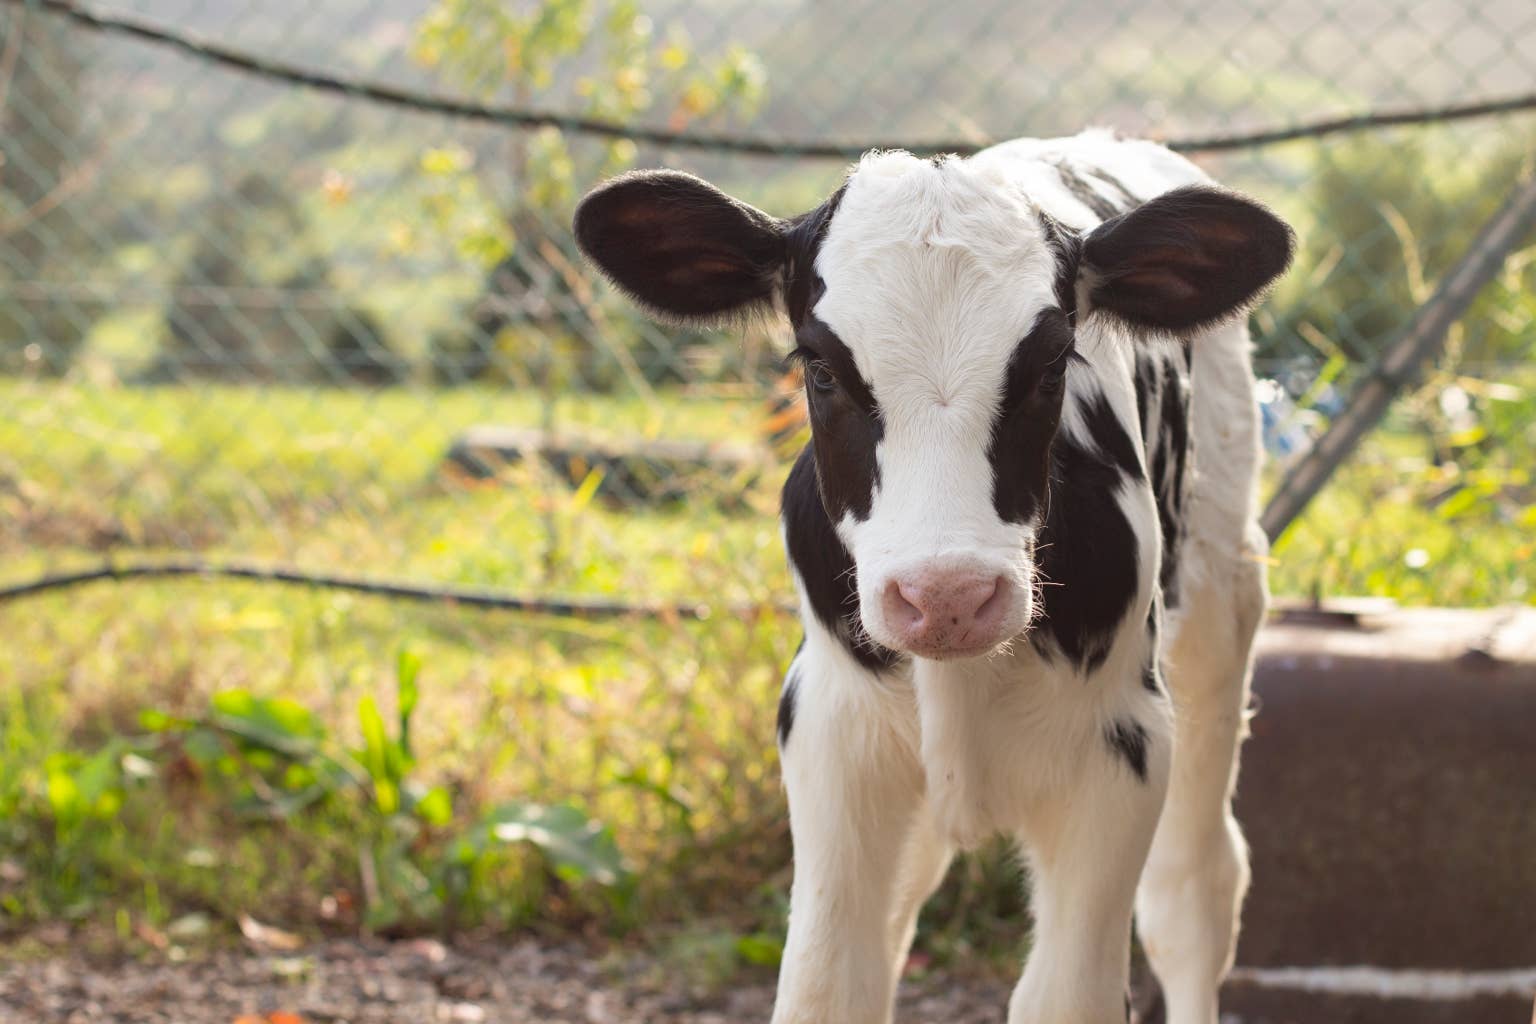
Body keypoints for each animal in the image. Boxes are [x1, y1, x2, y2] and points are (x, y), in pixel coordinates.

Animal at [573, 129, 1294, 1024]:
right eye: (819, 367)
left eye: (1053, 364)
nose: (947, 596)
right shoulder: (832, 737)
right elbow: (828, 985)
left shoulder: (1119, 751)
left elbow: (1070, 992)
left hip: (1222, 605)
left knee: (1194, 894)